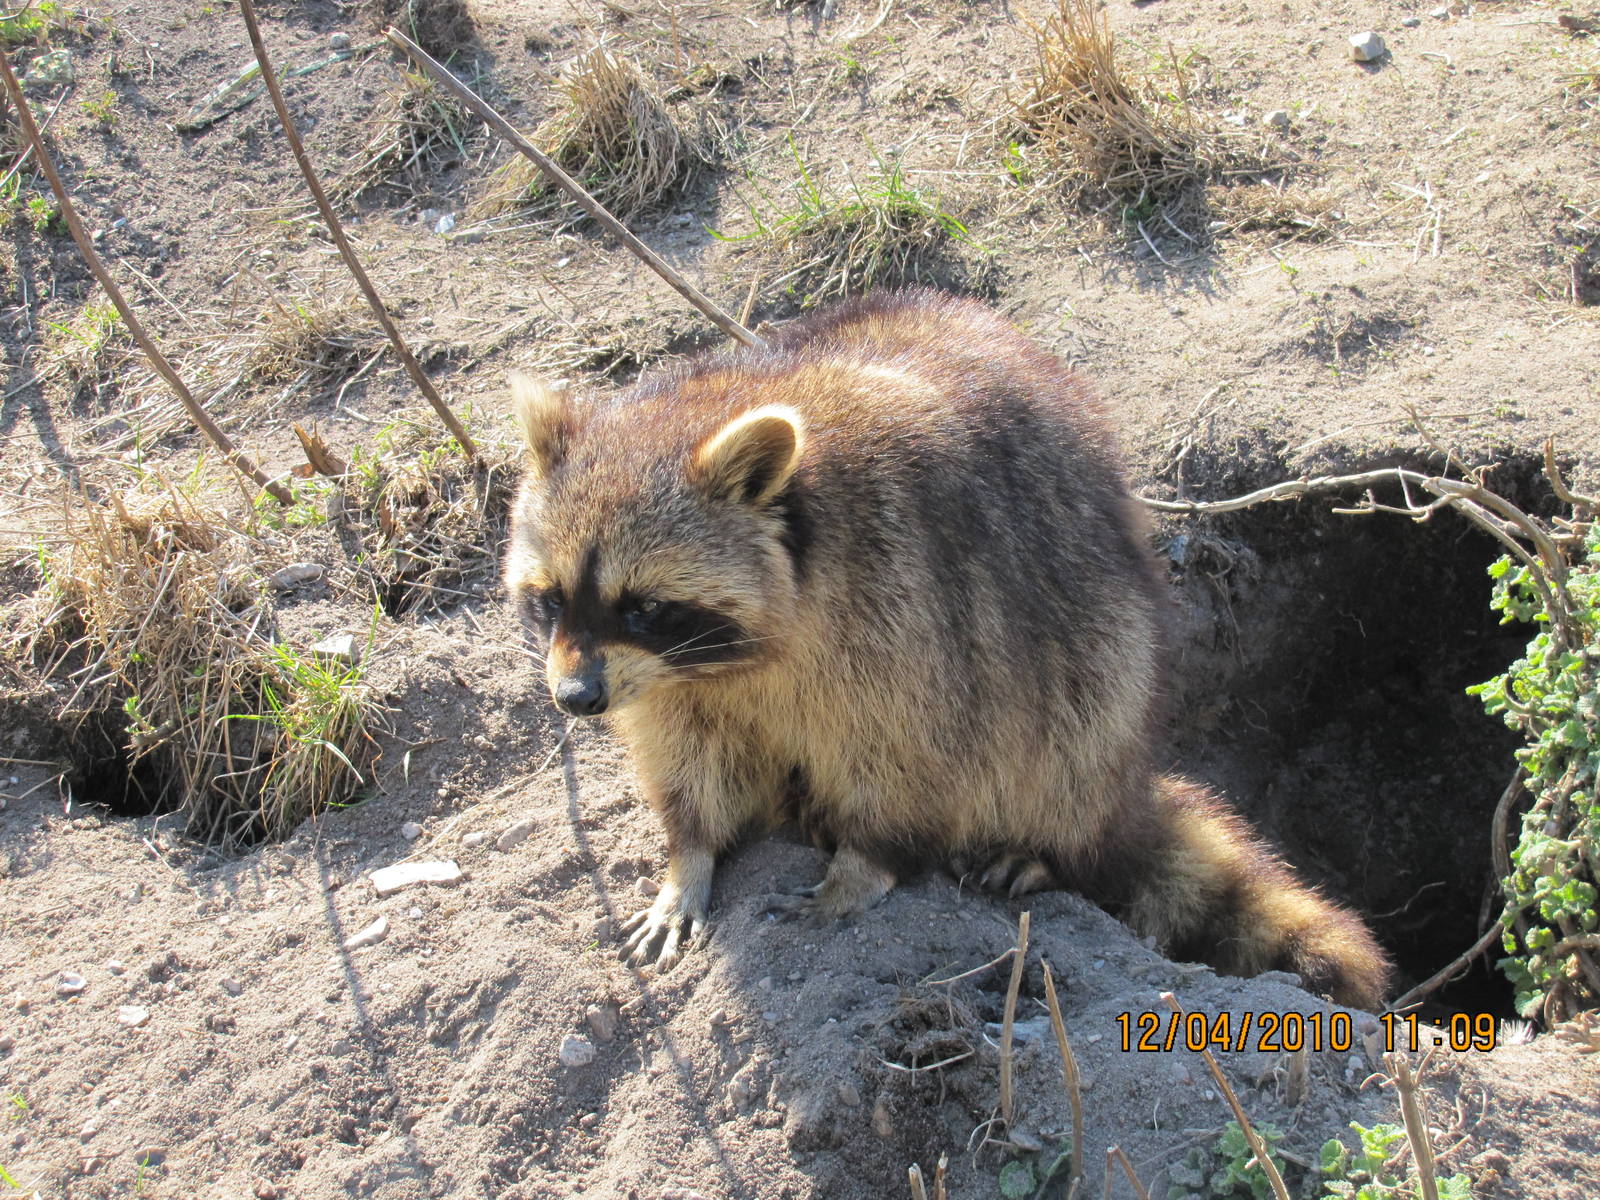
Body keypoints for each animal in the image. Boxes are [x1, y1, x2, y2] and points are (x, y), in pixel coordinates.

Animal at [505, 290, 1391, 1010]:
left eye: (647, 606)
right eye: (549, 597)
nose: (575, 701)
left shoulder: (907, 609)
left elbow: (915, 752)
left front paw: (862, 865)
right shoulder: (668, 683)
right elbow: (691, 759)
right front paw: (688, 857)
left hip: (1103, 658)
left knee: (1082, 721)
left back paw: (1048, 845)